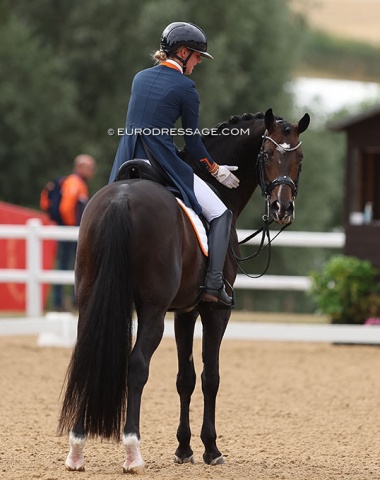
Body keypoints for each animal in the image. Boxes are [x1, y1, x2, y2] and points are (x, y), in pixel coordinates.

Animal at [58, 108, 308, 472]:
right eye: (266, 155)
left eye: (298, 157)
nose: (282, 209)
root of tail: (122, 199)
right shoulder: (214, 310)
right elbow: (210, 376)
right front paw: (211, 448)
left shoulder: (185, 312)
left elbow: (185, 377)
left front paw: (184, 447)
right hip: (152, 310)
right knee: (137, 365)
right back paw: (132, 451)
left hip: (90, 300)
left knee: (87, 358)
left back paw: (77, 450)